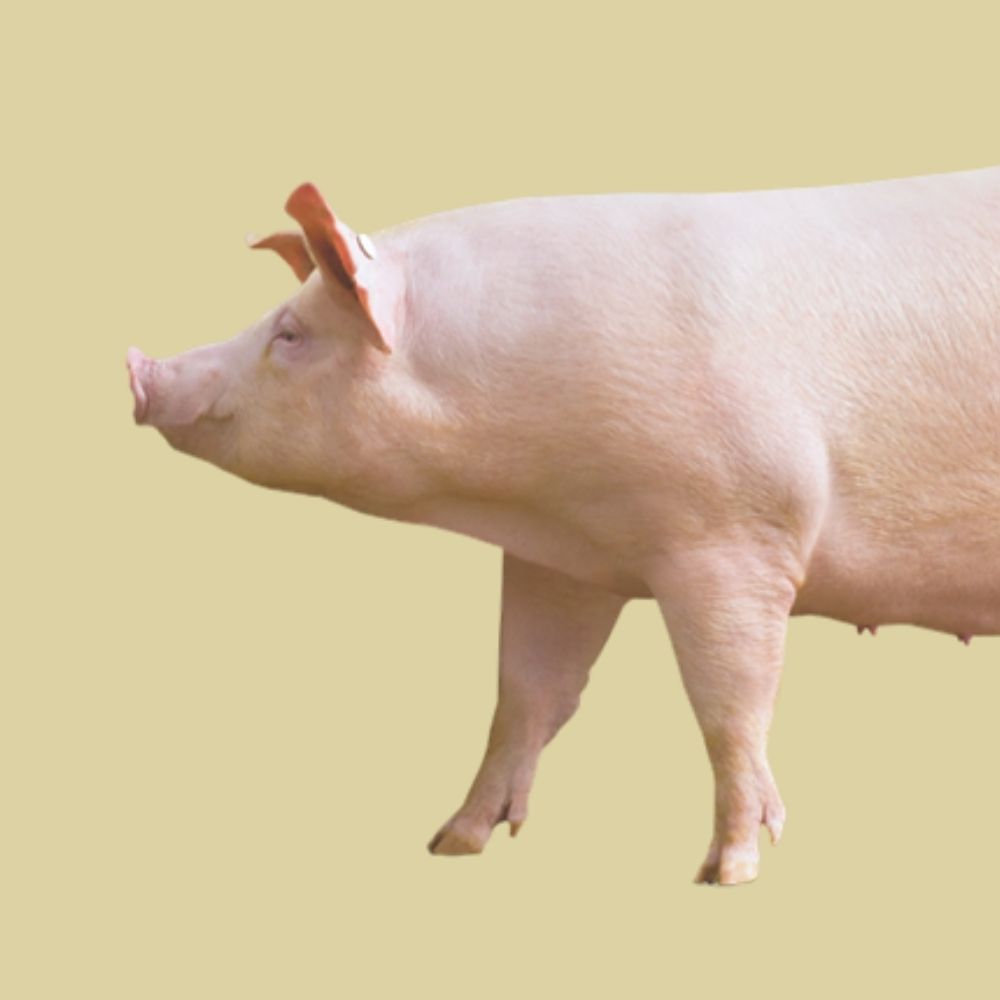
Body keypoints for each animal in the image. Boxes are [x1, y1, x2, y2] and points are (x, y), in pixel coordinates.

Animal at [127, 167, 1000, 884]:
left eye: (291, 334)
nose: (138, 370)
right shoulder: (566, 558)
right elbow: (526, 691)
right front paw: (451, 843)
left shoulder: (736, 529)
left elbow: (730, 705)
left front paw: (725, 871)